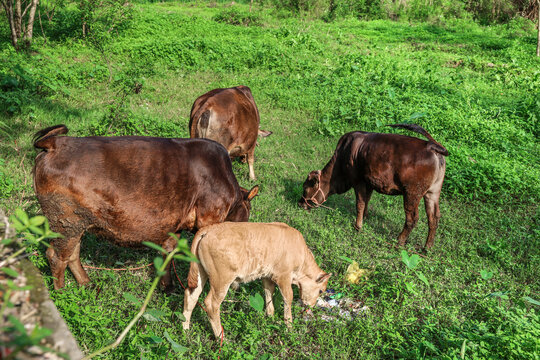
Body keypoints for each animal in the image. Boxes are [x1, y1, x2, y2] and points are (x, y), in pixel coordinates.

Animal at [32, 125, 260, 292]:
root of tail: (56, 143)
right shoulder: (209, 219)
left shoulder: (175, 227)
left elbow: (168, 254)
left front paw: (166, 287)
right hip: (65, 220)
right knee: (56, 257)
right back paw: (62, 293)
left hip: (75, 222)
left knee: (72, 254)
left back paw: (86, 283)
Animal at [184, 221, 332, 338]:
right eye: (321, 291)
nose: (311, 306)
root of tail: (208, 230)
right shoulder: (284, 276)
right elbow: (288, 298)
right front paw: (289, 327)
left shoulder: (267, 276)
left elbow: (268, 294)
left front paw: (271, 317)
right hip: (221, 280)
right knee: (211, 304)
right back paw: (221, 337)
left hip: (201, 273)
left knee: (191, 296)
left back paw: (185, 330)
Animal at [300, 124, 448, 250]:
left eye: (306, 187)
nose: (301, 203)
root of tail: (432, 147)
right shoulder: (369, 182)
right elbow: (366, 201)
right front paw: (364, 218)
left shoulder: (358, 181)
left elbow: (360, 203)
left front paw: (358, 226)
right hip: (432, 192)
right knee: (433, 217)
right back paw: (427, 247)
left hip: (412, 193)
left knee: (412, 218)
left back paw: (399, 241)